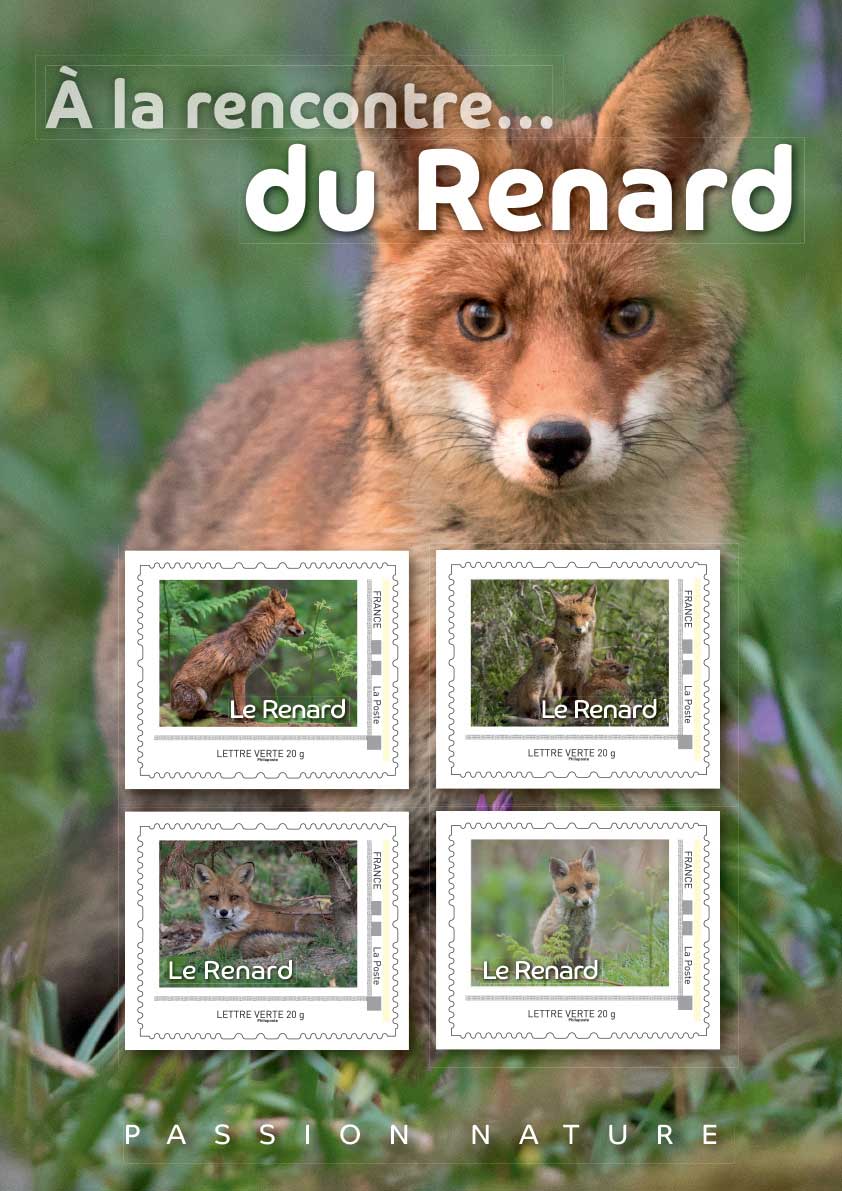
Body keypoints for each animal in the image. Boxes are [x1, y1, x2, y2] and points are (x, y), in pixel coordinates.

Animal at [169, 587, 304, 721]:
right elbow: (240, 701)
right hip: (201, 694)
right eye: (293, 618)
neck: (254, 636)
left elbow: (236, 703)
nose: (304, 631)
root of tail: (171, 703)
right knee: (183, 716)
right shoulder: (239, 673)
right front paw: (245, 718)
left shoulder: (237, 676)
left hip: (216, 690)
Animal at [192, 861, 324, 958]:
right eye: (214, 897)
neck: (215, 930)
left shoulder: (218, 948)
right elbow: (186, 951)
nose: (224, 912)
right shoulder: (202, 942)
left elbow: (193, 958)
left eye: (234, 897)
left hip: (302, 922)